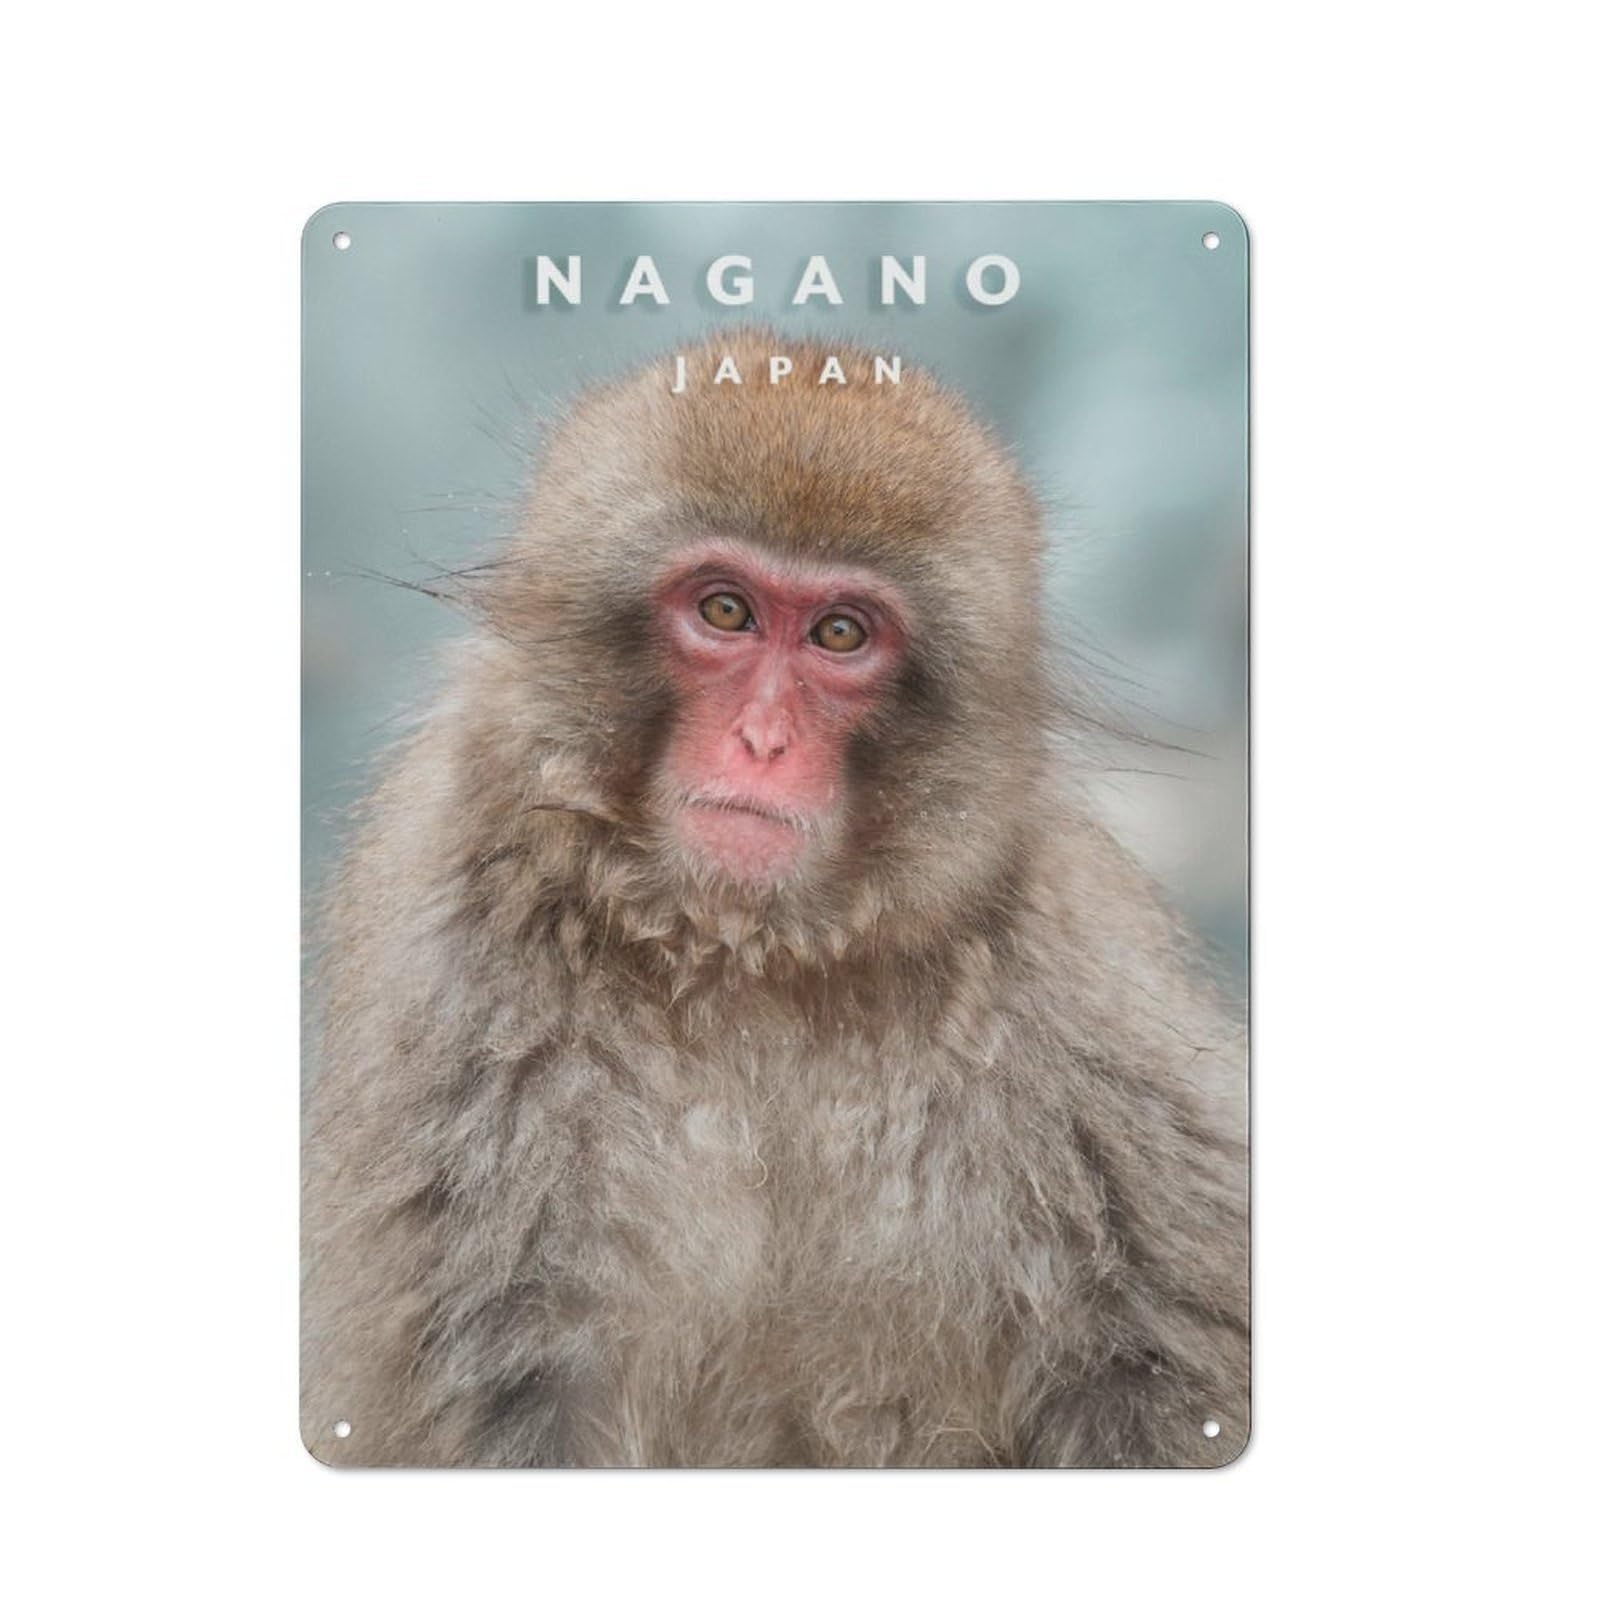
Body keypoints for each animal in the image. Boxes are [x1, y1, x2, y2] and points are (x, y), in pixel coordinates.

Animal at [301, 331, 1248, 1469]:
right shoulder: (456, 988)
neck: (749, 957)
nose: (762, 742)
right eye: (724, 611)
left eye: (840, 634)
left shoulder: (1079, 991)